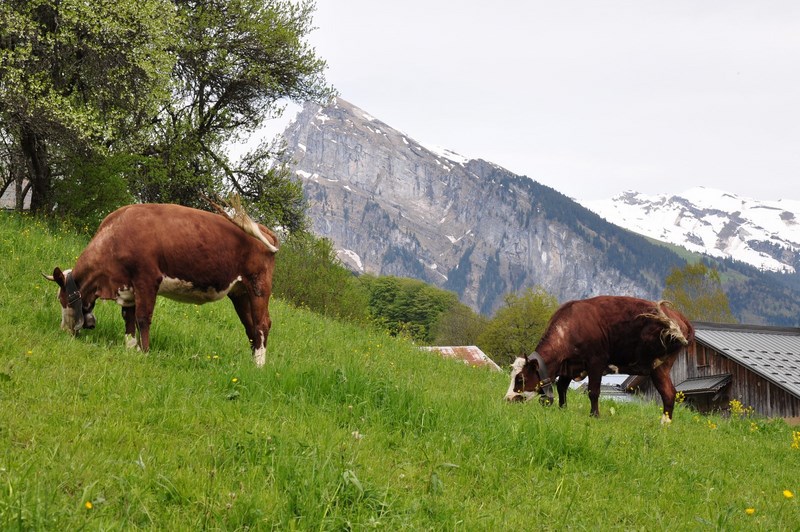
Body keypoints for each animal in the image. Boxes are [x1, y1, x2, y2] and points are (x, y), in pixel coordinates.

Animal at [47, 200, 280, 366]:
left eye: (62, 300)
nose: (63, 330)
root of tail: (264, 230)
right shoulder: (128, 287)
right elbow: (128, 318)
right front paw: (130, 348)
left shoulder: (147, 279)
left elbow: (143, 318)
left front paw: (144, 352)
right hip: (240, 292)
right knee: (250, 326)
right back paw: (251, 364)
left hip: (258, 286)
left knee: (262, 324)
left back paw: (259, 365)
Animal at [506, 296, 692, 424]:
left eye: (520, 378)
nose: (507, 399)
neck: (569, 329)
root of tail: (679, 317)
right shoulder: (569, 366)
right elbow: (561, 387)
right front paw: (562, 408)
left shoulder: (595, 362)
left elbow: (593, 391)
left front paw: (594, 415)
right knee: (669, 393)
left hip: (659, 365)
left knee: (668, 393)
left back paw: (664, 423)